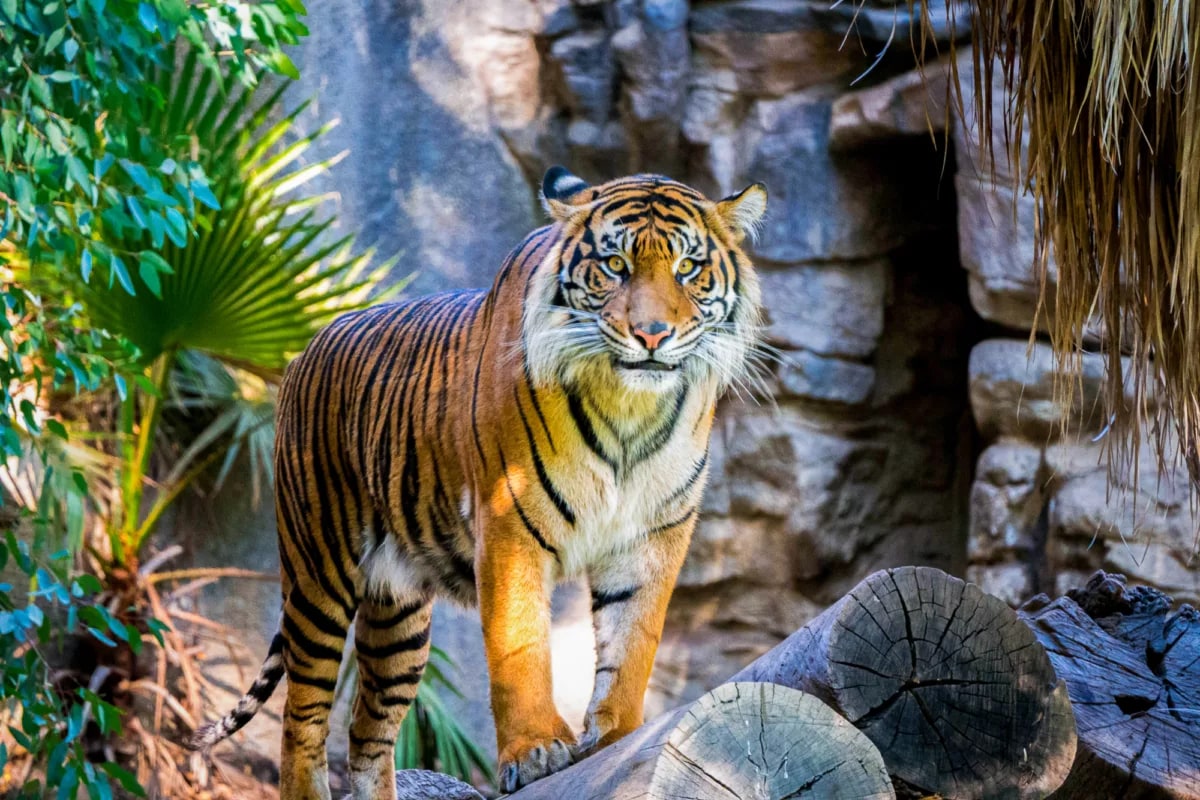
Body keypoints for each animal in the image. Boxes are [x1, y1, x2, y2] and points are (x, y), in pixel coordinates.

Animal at [187, 165, 768, 796]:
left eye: (688, 267)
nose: (653, 335)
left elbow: (633, 642)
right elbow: (521, 647)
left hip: (398, 619)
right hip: (319, 574)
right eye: (615, 265)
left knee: (367, 734)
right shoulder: (512, 521)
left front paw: (616, 740)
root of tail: (301, 352)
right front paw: (535, 750)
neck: (629, 409)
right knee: (303, 719)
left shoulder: (653, 535)